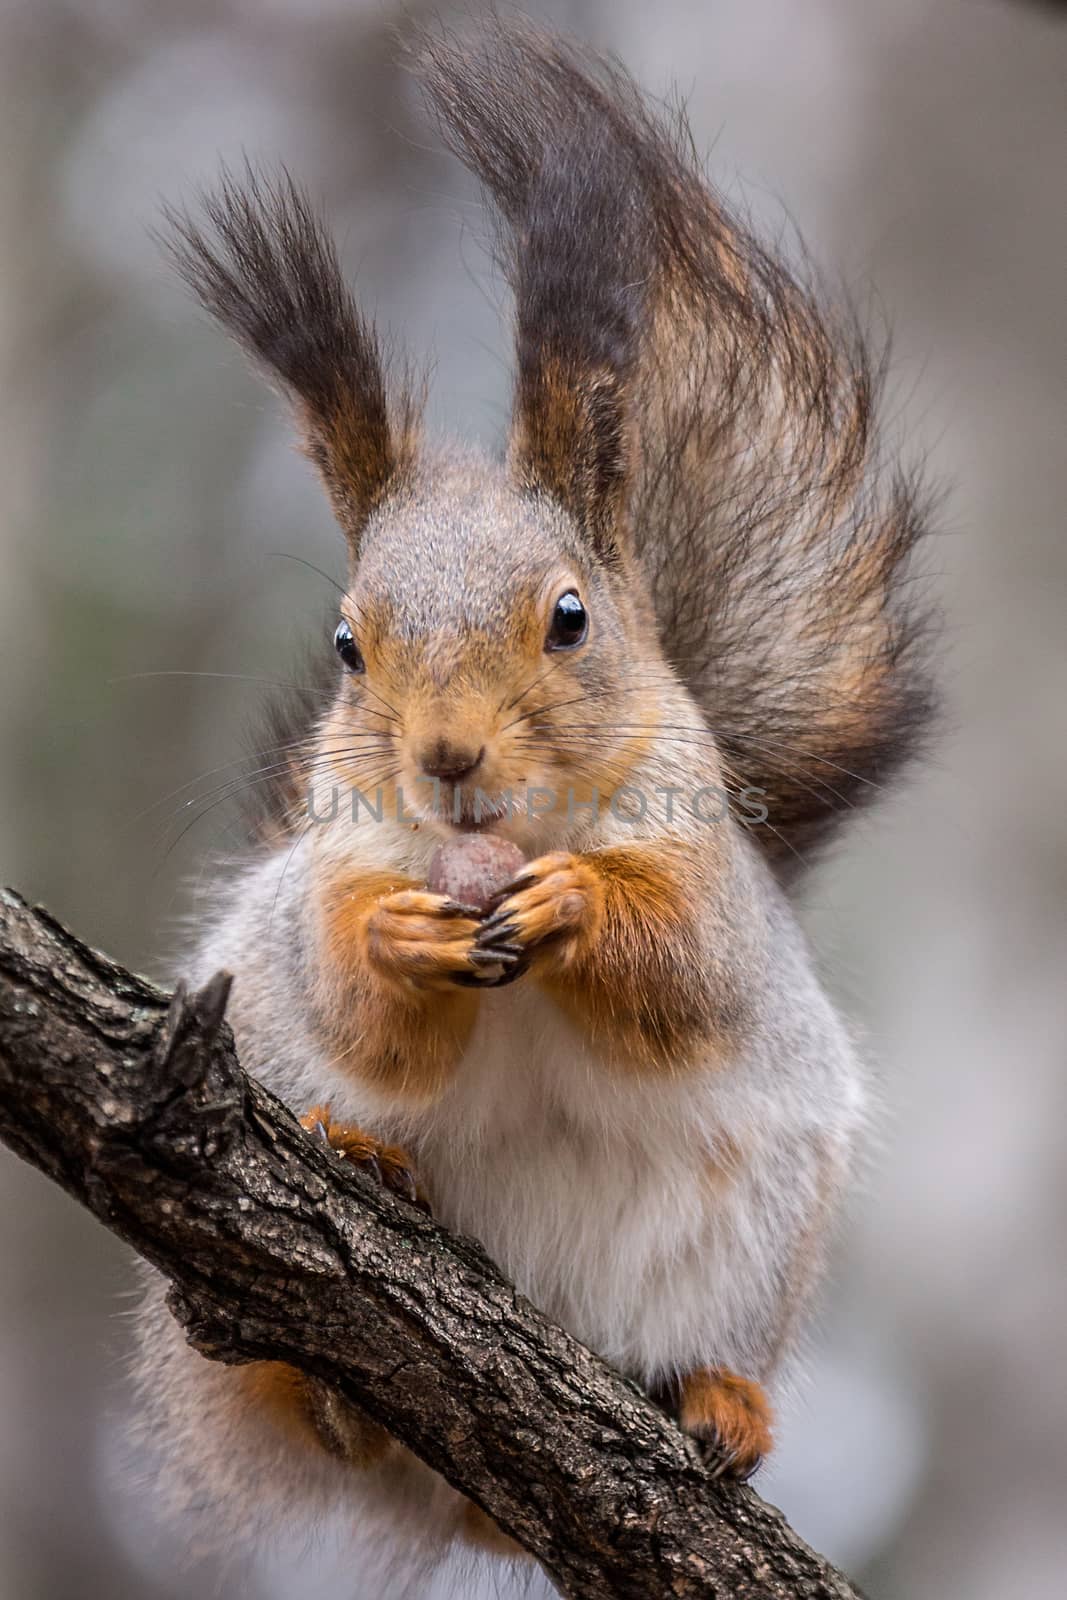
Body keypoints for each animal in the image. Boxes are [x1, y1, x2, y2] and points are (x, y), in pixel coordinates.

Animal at [133, 15, 934, 1587]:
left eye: (569, 617)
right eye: (347, 644)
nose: (446, 759)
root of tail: (459, 1498)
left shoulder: (710, 875)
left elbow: (686, 976)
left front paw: (578, 907)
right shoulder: (325, 869)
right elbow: (353, 1006)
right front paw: (399, 945)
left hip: (757, 1235)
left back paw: (721, 1401)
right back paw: (343, 1307)